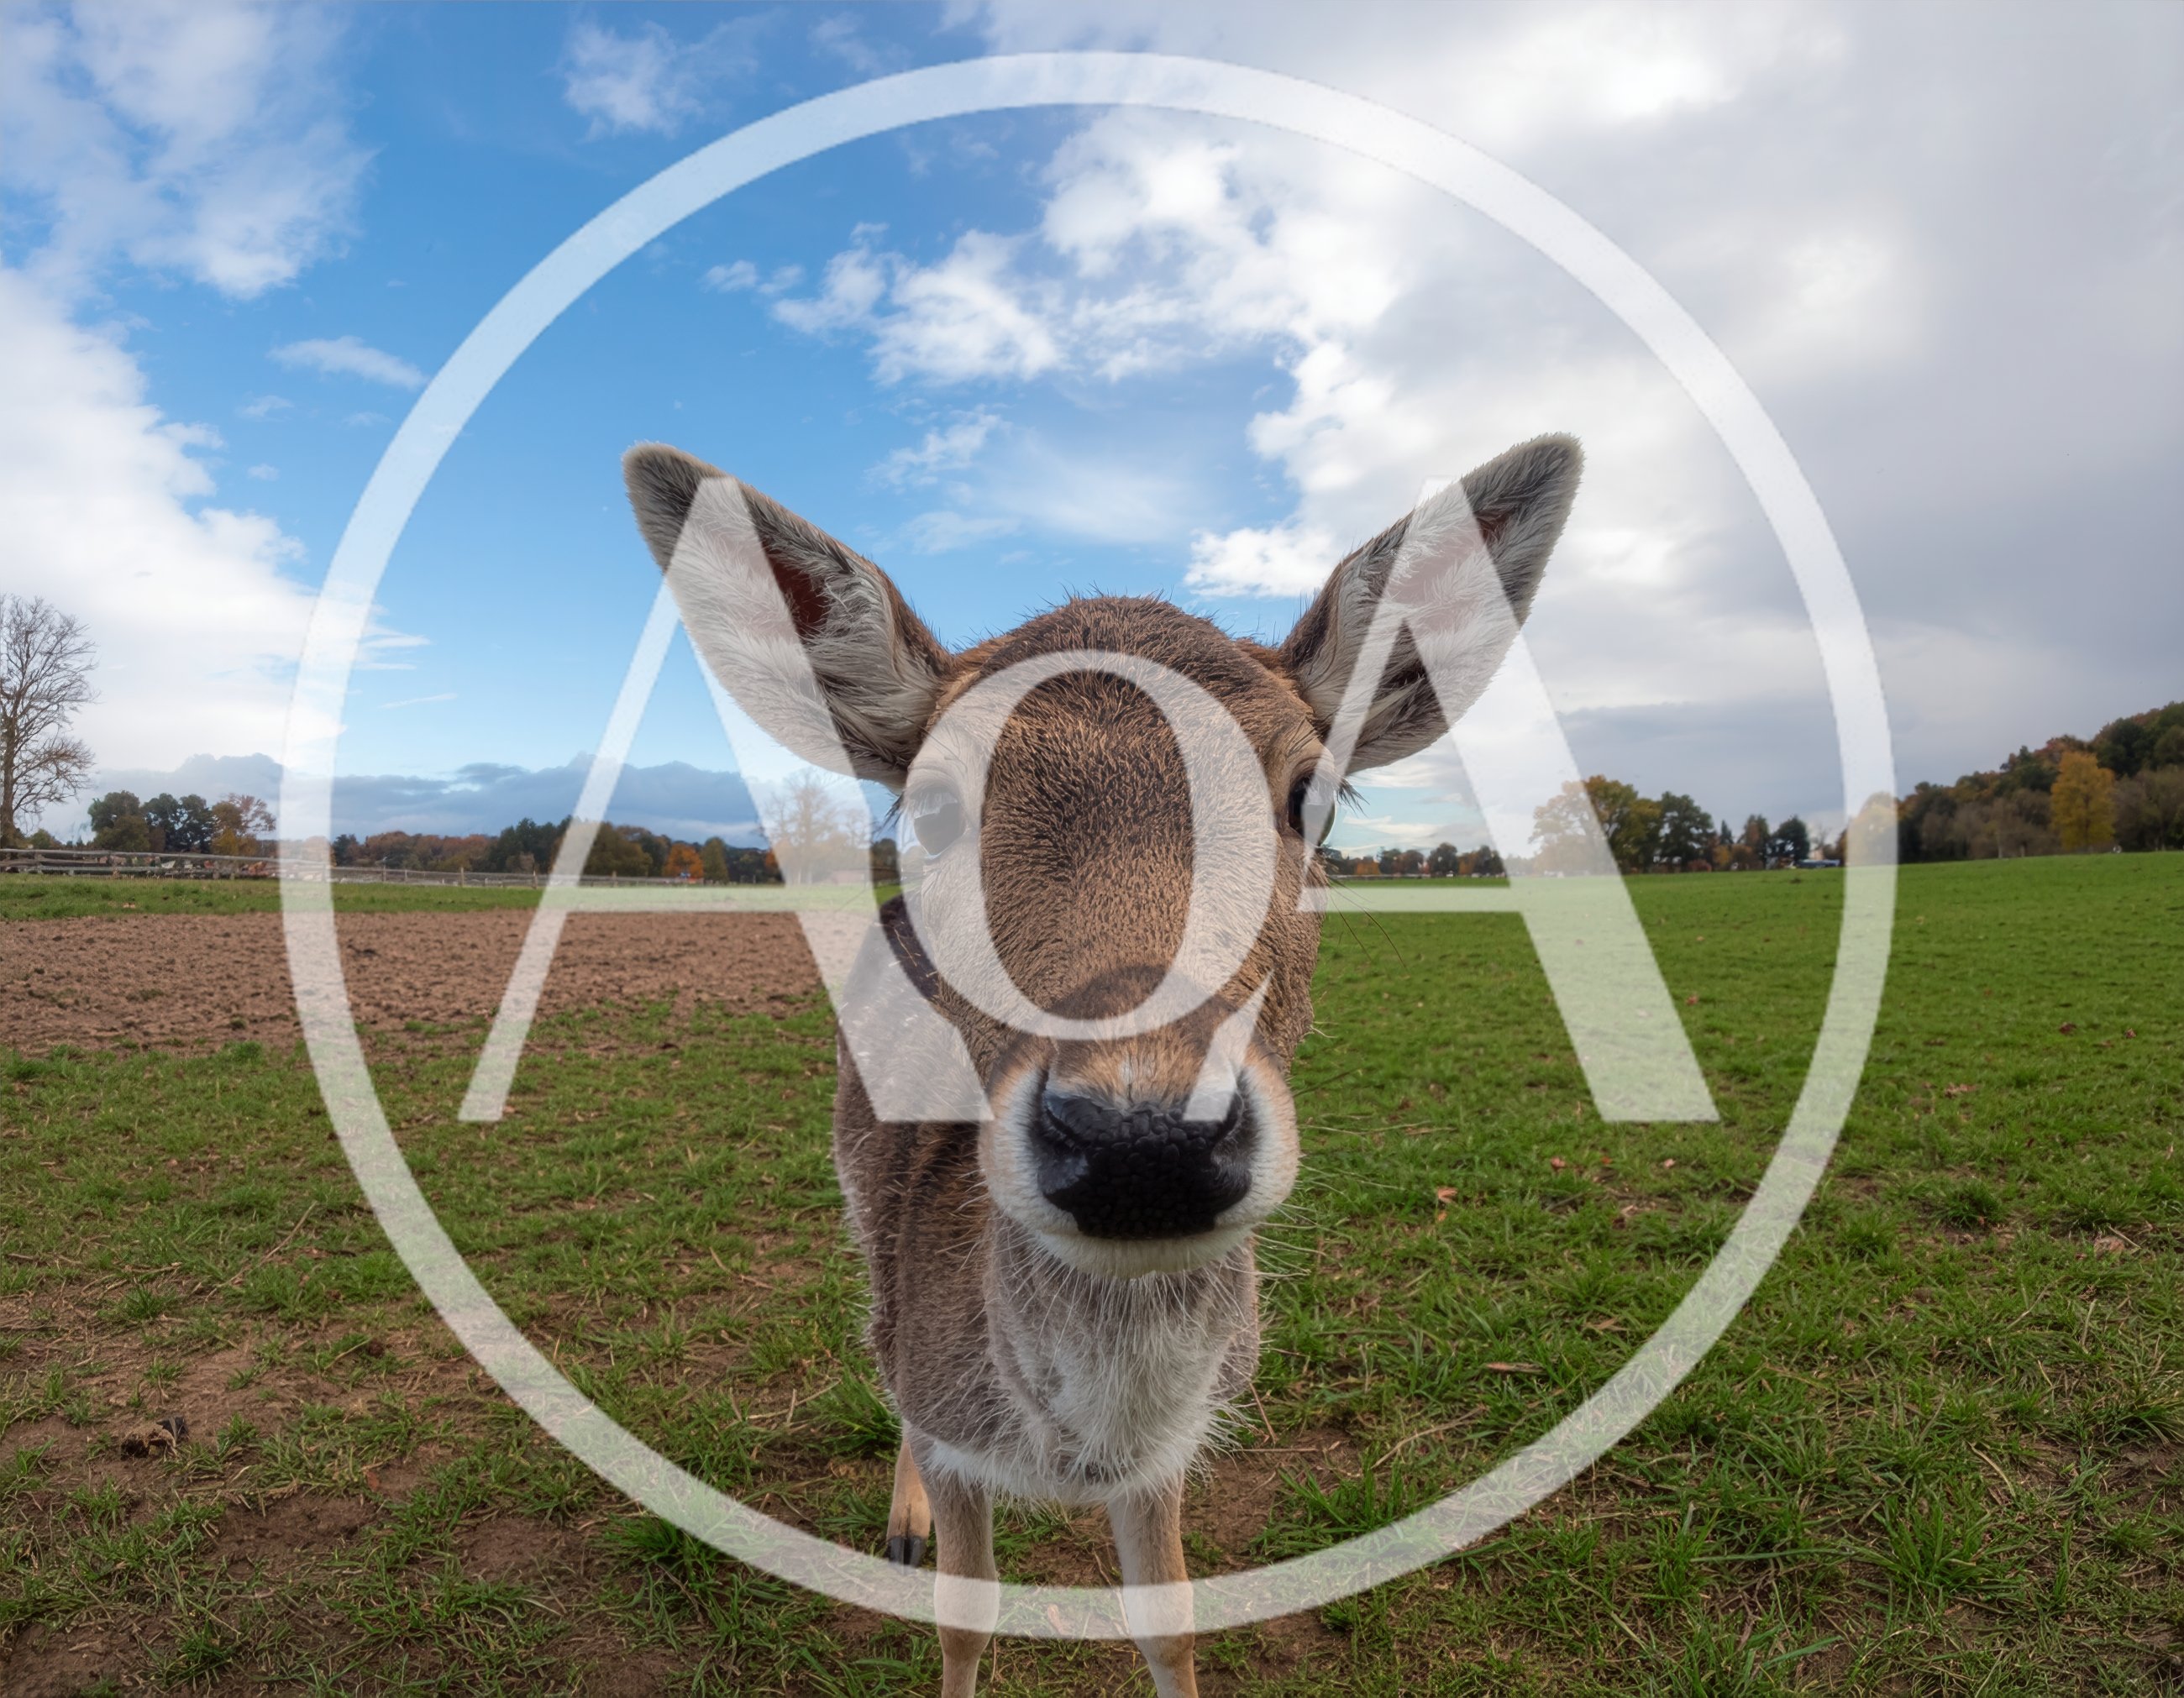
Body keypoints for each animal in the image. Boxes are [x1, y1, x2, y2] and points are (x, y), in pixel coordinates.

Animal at [621, 432, 1581, 1697]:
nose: (1143, 1144)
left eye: (1313, 799)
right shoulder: (950, 1405)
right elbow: (964, 1612)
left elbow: (1168, 1617)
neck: (1075, 1442)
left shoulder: (1170, 1454)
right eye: (931, 808)